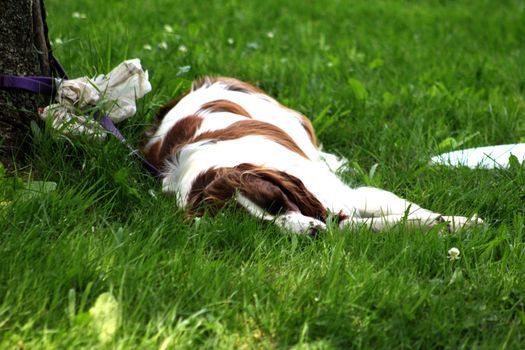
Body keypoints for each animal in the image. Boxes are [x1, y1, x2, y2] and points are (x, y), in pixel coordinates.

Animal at [141, 77, 482, 235]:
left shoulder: (339, 193)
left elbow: (406, 209)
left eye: (277, 203)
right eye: (260, 227)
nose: (312, 233)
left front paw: (461, 222)